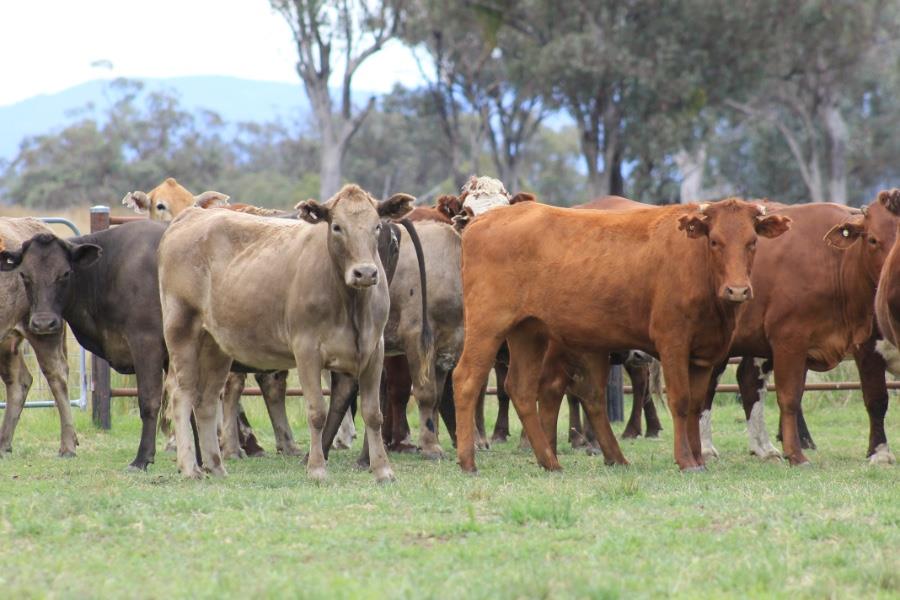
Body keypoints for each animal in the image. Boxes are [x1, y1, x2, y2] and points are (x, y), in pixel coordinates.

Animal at [159, 185, 414, 480]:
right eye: (337, 227)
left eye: (376, 226)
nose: (365, 272)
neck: (351, 304)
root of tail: (191, 215)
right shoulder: (306, 350)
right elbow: (316, 412)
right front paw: (317, 469)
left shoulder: (374, 350)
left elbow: (373, 414)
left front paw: (383, 470)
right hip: (181, 328)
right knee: (182, 392)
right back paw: (190, 467)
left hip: (215, 344)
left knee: (208, 399)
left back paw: (216, 466)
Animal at [450, 199, 788, 472]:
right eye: (715, 241)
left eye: (752, 241)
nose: (738, 290)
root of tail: (483, 220)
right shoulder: (672, 344)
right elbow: (680, 401)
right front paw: (686, 460)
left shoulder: (705, 355)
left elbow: (695, 404)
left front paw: (698, 457)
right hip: (487, 325)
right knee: (466, 379)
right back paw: (468, 460)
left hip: (529, 332)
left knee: (521, 388)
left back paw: (551, 461)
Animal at [704, 190, 900, 466]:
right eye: (872, 239)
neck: (835, 262)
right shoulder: (796, 341)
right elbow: (873, 399)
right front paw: (879, 452)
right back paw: (705, 447)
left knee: (749, 380)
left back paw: (763, 447)